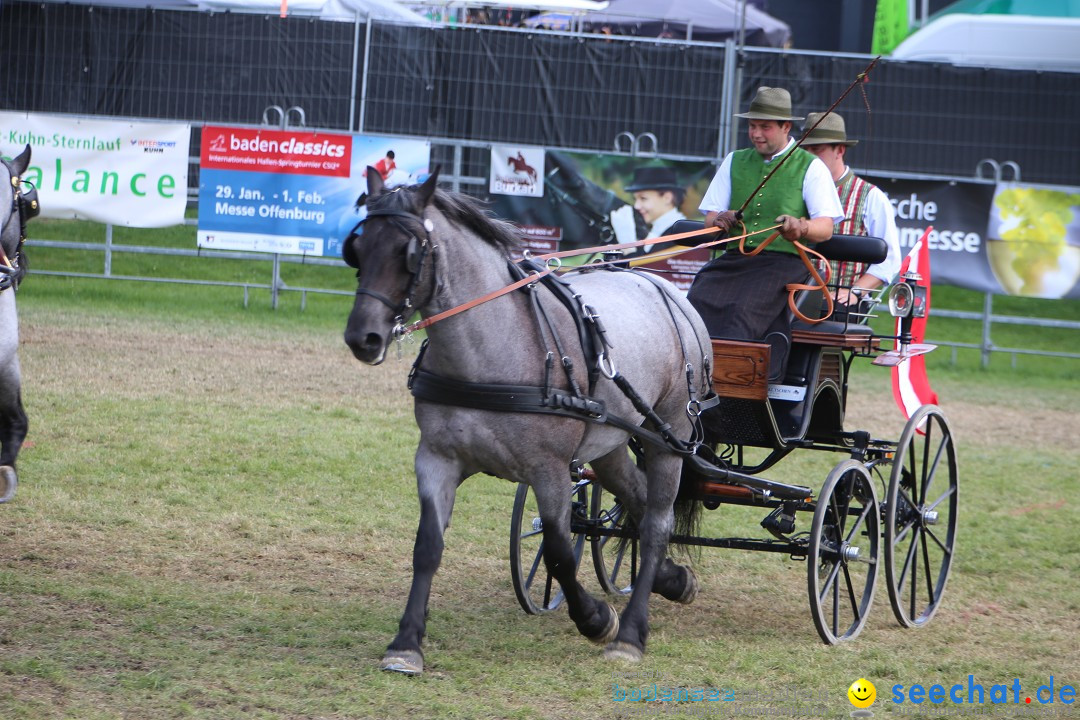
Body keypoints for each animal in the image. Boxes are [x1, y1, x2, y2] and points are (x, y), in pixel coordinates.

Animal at [345, 169, 712, 677]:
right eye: (358, 248)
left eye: (408, 252)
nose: (363, 338)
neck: (495, 347)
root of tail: (667, 290)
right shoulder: (436, 459)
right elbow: (427, 546)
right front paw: (406, 642)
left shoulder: (550, 469)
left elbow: (558, 551)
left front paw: (596, 619)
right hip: (612, 440)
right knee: (635, 501)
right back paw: (672, 580)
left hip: (668, 435)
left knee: (657, 523)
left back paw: (632, 633)